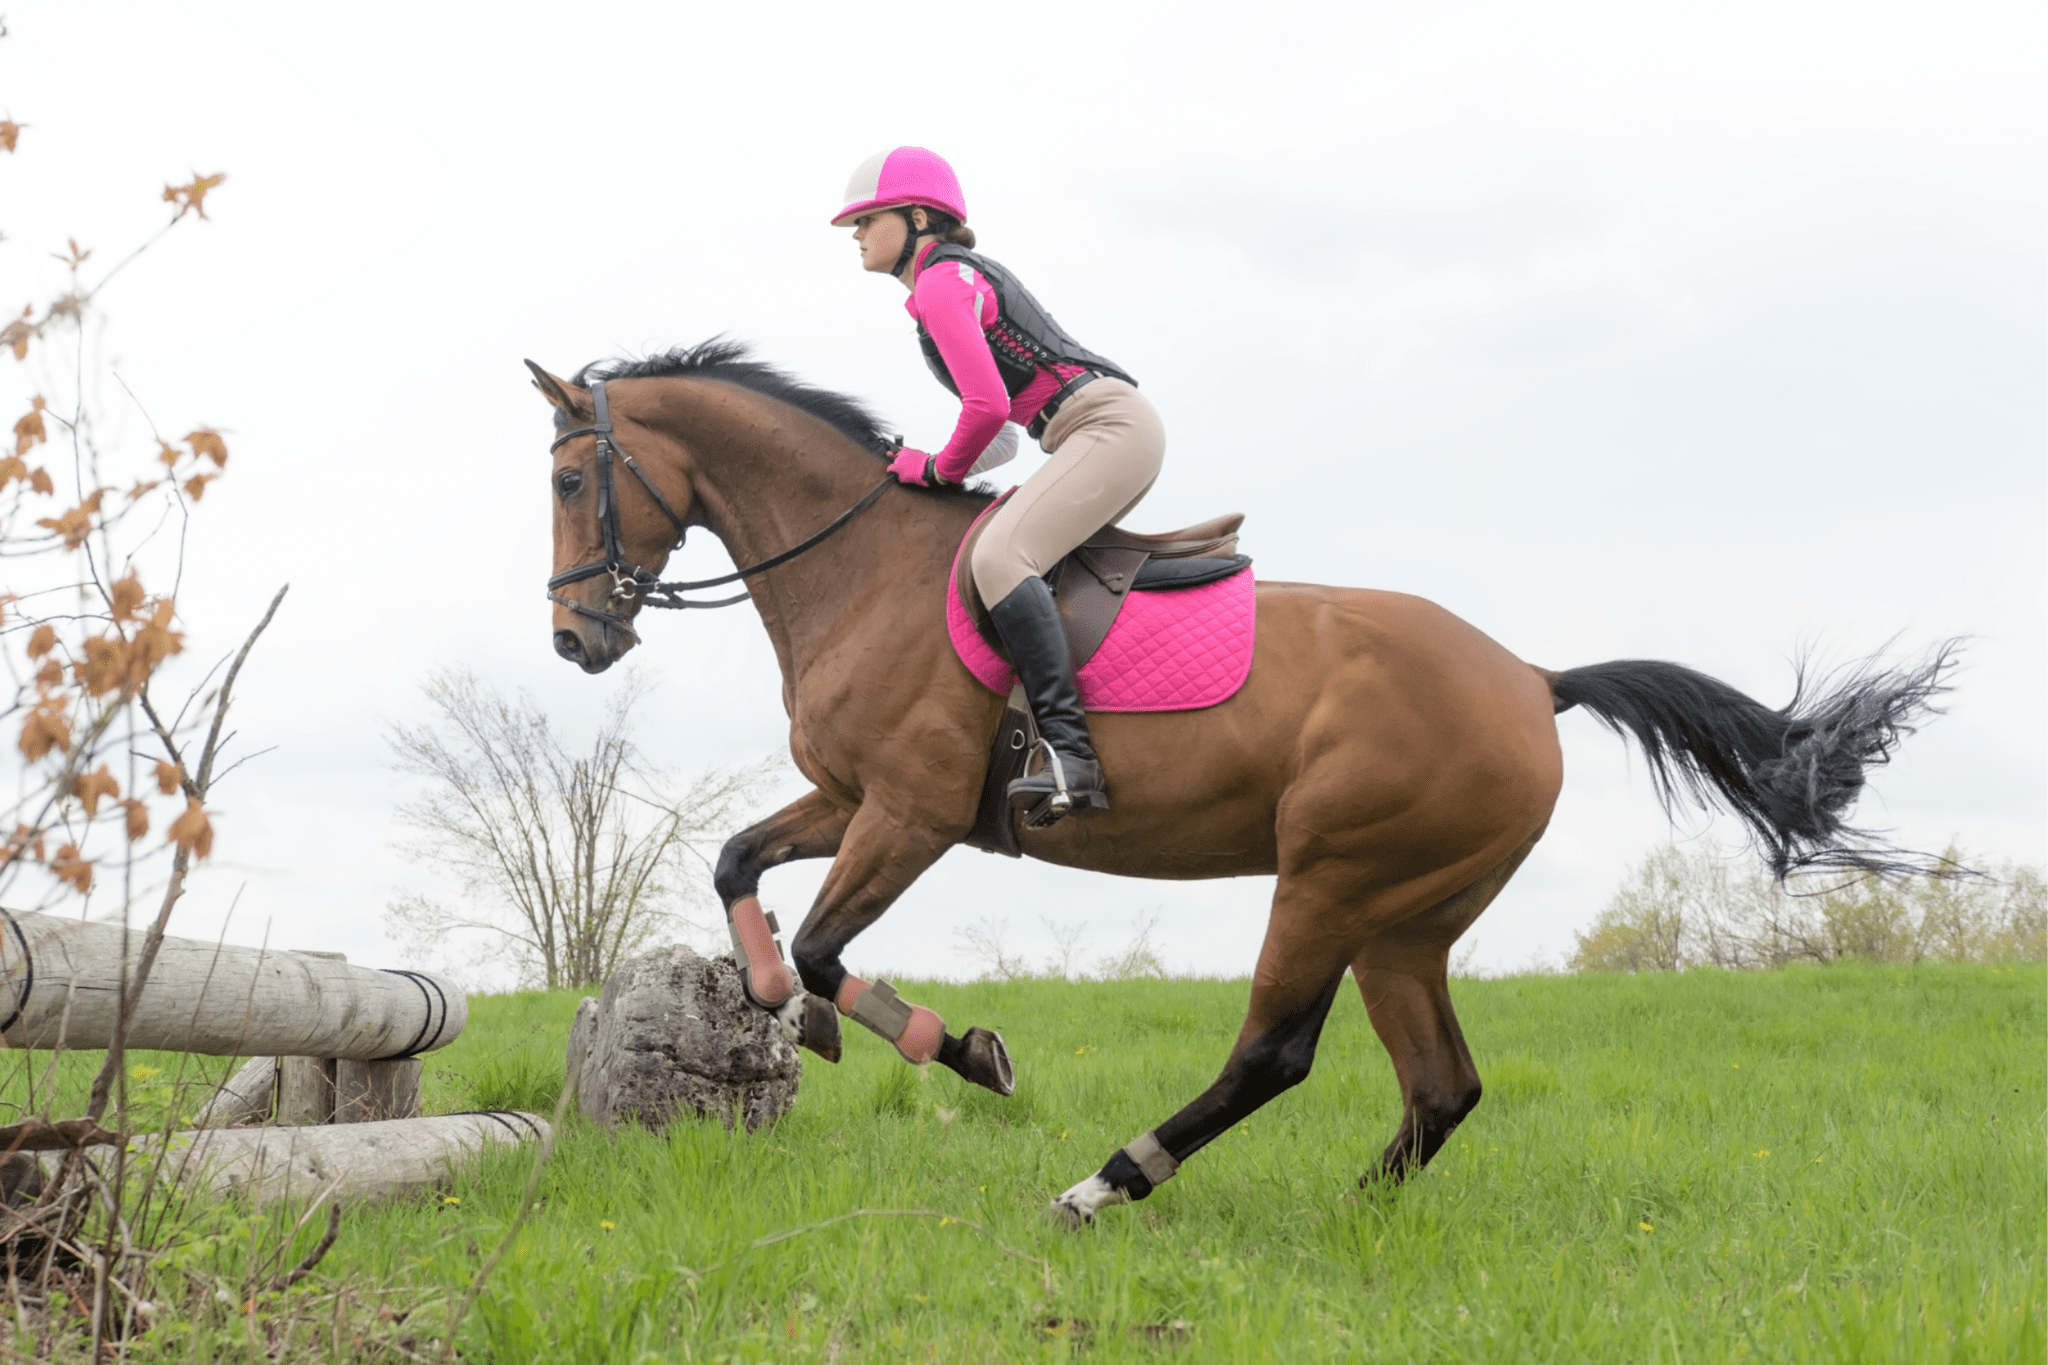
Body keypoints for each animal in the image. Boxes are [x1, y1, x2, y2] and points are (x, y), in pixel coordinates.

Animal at [531, 340, 1952, 1225]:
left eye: (564, 476)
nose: (573, 641)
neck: (860, 568)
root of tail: (1530, 678)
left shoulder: (913, 814)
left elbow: (830, 950)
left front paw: (961, 1050)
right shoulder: (847, 799)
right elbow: (737, 865)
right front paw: (784, 1008)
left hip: (1330, 876)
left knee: (1272, 1051)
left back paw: (1102, 1187)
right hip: (1407, 917)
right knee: (1439, 1085)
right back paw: (1352, 1215)